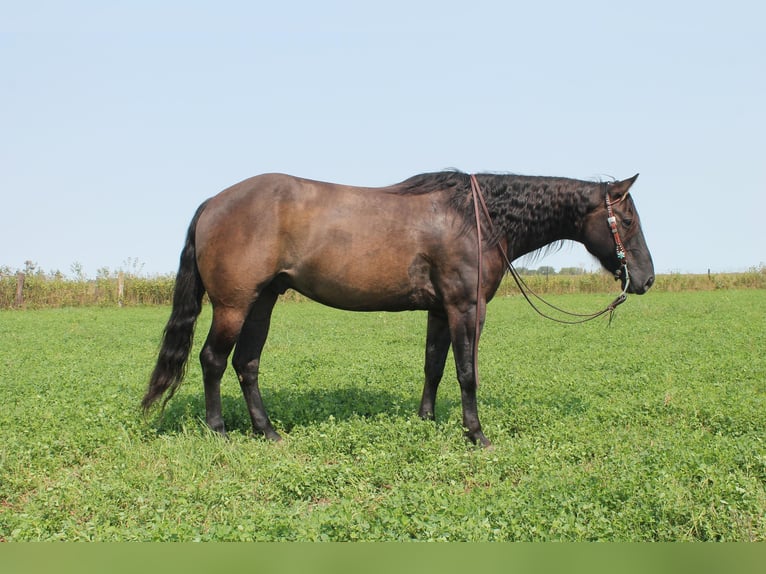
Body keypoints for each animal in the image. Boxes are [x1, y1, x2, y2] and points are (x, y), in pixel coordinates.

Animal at [142, 171, 656, 450]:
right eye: (628, 220)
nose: (647, 279)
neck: (476, 218)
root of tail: (213, 203)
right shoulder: (467, 308)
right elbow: (467, 373)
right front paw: (476, 434)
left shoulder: (440, 310)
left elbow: (433, 366)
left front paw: (426, 420)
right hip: (233, 304)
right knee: (213, 360)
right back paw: (219, 431)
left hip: (262, 301)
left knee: (247, 363)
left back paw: (267, 432)